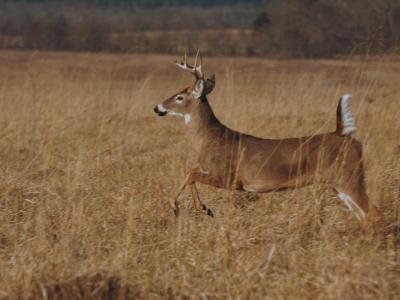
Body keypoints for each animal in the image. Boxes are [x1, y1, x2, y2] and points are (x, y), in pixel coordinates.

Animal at [153, 52, 382, 226]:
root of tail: (344, 134)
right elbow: (190, 170)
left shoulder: (230, 177)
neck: (211, 138)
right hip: (339, 182)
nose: (157, 107)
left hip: (349, 175)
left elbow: (190, 173)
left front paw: (185, 207)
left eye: (179, 97)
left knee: (373, 212)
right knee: (364, 215)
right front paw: (203, 208)